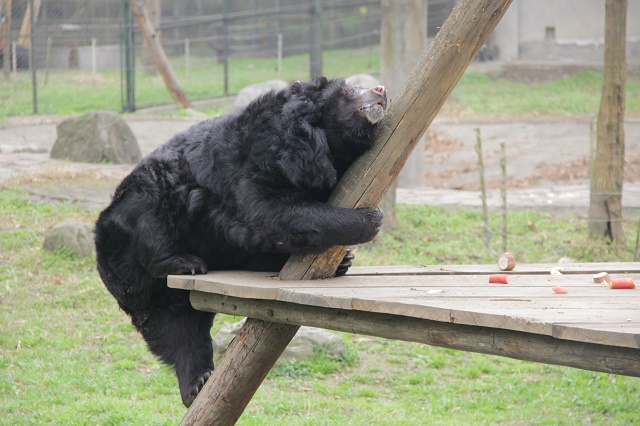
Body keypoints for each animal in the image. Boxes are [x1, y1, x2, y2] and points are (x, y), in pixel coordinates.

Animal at [94, 76, 384, 406]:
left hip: (160, 293)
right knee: (153, 219)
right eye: (350, 90)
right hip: (139, 212)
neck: (319, 143)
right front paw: (369, 219)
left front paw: (346, 257)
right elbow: (272, 211)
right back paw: (184, 264)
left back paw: (197, 384)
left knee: (178, 328)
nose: (382, 91)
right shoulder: (267, 152)